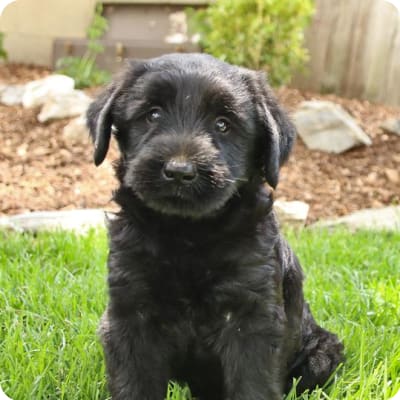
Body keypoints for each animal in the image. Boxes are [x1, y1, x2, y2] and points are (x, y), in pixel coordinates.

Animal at [87, 54, 344, 400]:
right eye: (153, 114)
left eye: (223, 124)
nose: (179, 171)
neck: (187, 235)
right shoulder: (130, 312)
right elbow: (135, 383)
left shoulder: (251, 318)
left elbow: (253, 385)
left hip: (322, 354)